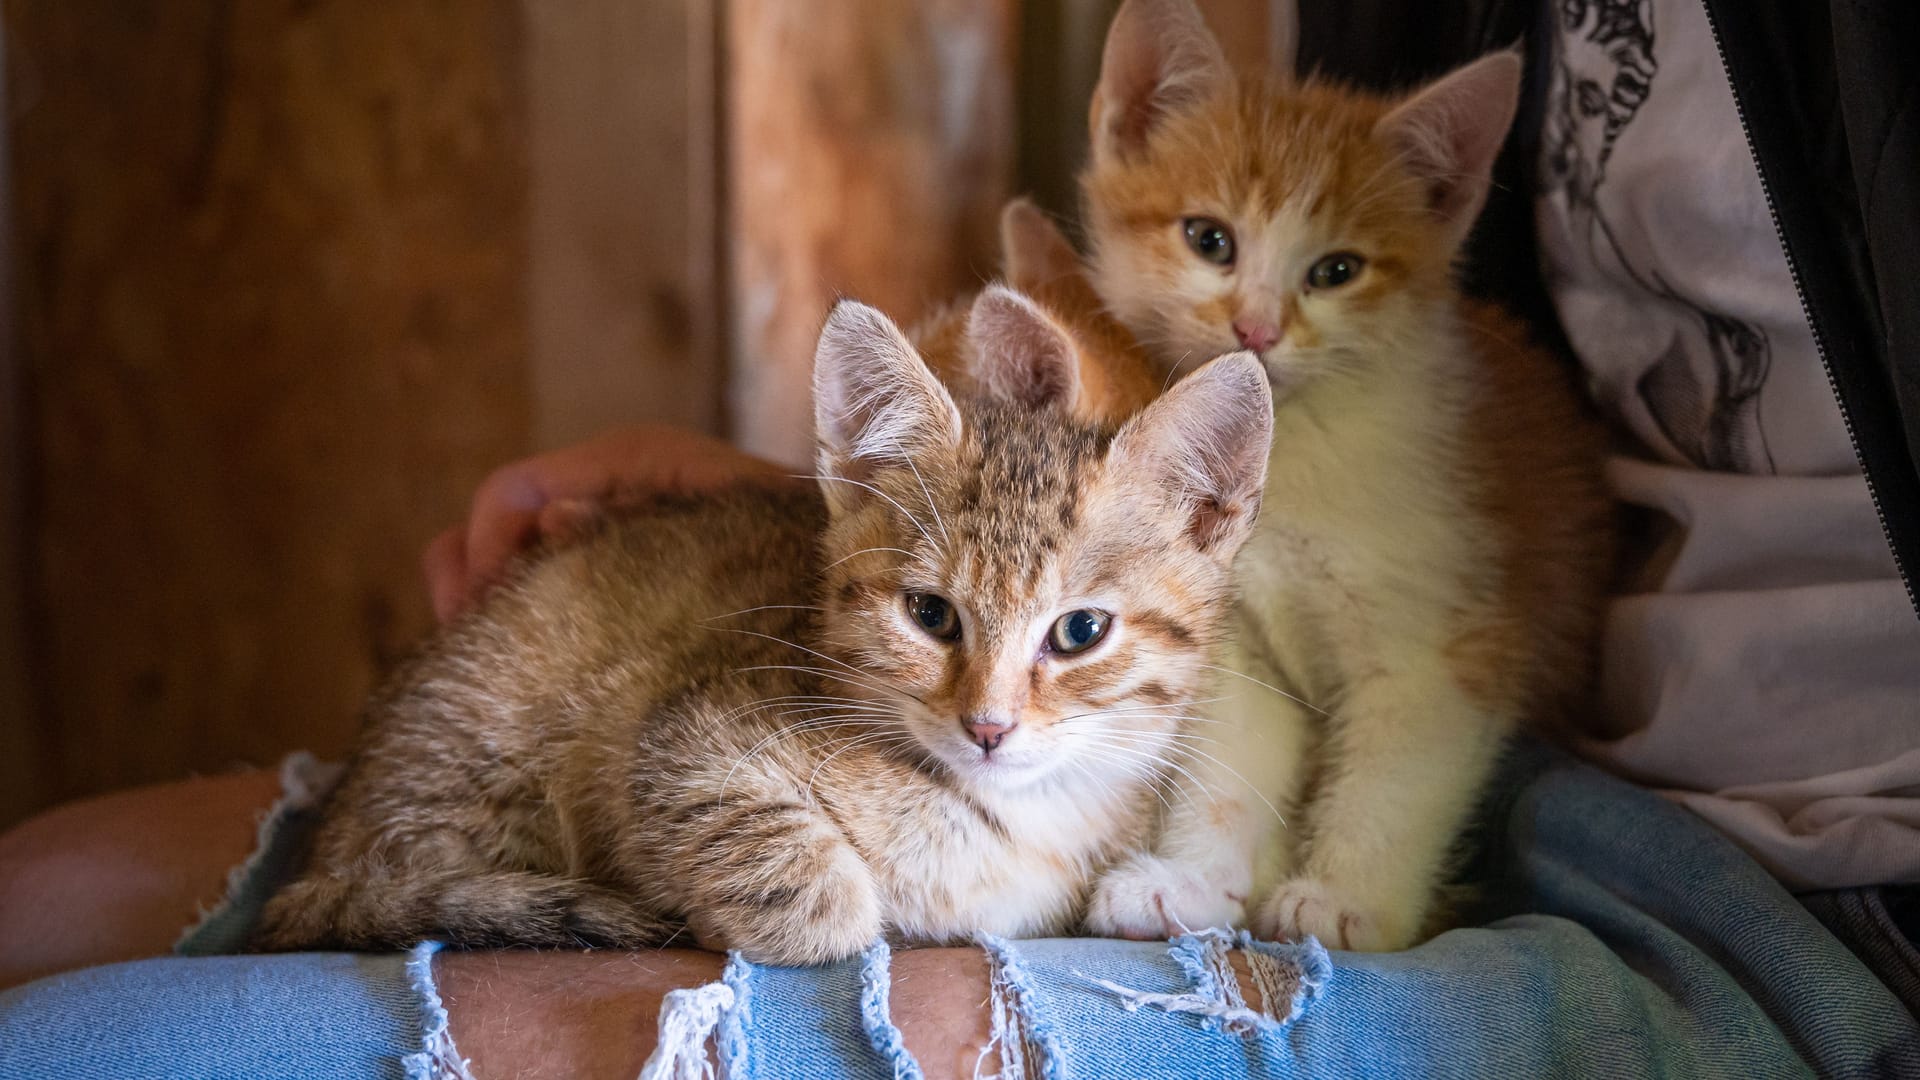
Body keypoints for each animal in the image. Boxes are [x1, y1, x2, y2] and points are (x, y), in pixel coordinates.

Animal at [251, 284, 1274, 957]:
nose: (988, 727)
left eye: (1079, 633)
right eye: (930, 614)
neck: (1014, 819)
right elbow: (822, 895)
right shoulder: (670, 731)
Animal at [1082, 0, 1605, 945]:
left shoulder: (1445, 640)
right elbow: (1229, 761)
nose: (1256, 329)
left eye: (1337, 271)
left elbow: (1398, 779)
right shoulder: (1233, 637)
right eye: (1209, 239)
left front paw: (1347, 900)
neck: (1293, 453)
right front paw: (1192, 877)